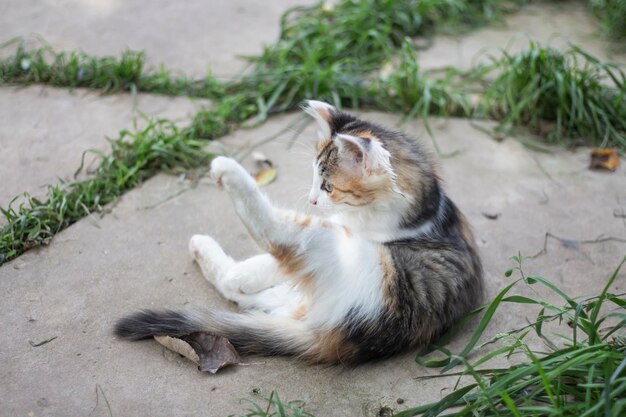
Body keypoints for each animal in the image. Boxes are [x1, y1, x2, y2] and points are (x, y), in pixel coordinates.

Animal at [113, 101, 482, 364]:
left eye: (328, 186)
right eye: (314, 179)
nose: (312, 200)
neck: (427, 208)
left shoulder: (353, 230)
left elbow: (270, 255)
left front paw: (246, 272)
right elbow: (265, 267)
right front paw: (245, 274)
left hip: (333, 252)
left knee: (272, 232)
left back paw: (228, 173)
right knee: (244, 292)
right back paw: (208, 252)